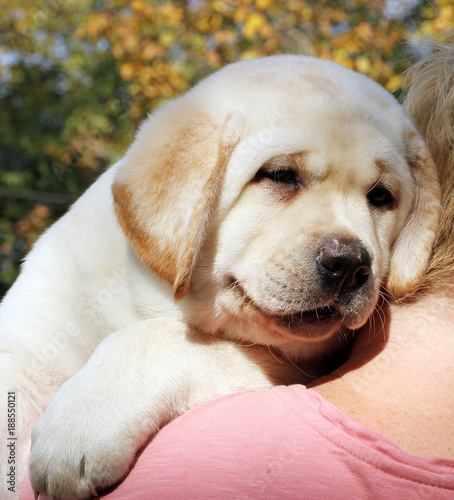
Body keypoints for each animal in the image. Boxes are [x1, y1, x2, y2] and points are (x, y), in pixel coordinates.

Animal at [0, 55, 440, 500]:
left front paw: (81, 420)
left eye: (380, 197)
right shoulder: (33, 333)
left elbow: (161, 340)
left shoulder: (289, 365)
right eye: (280, 175)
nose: (351, 264)